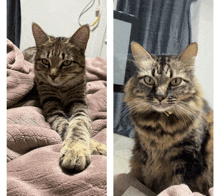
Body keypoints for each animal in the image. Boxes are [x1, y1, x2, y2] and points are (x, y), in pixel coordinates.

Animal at [23, 23, 106, 172]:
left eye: (66, 62)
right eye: (45, 61)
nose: (52, 75)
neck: (62, 89)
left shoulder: (79, 104)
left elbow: (78, 125)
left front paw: (81, 148)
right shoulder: (52, 106)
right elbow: (66, 126)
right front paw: (82, 148)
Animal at [124, 42, 214, 194]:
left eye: (176, 81)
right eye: (149, 80)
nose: (160, 97)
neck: (161, 128)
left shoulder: (187, 160)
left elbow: (177, 186)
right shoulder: (146, 157)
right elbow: (146, 183)